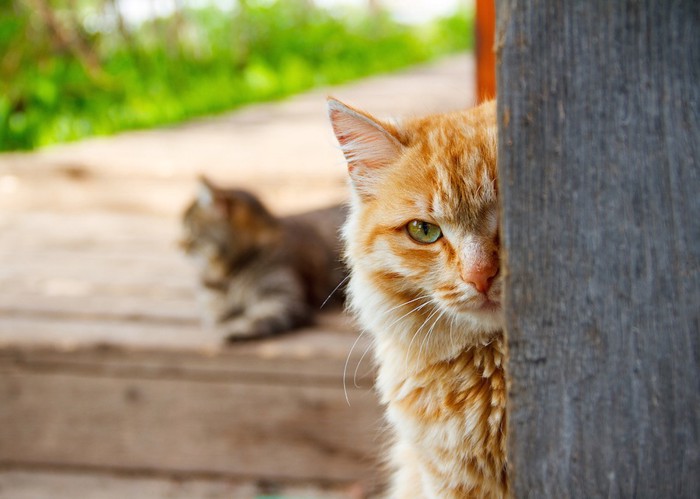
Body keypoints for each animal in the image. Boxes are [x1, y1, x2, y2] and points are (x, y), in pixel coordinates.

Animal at [179, 176, 346, 340]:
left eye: (189, 228)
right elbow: (217, 313)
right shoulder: (212, 303)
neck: (229, 273)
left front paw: (234, 330)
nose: (178, 245)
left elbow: (258, 319)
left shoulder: (283, 300)